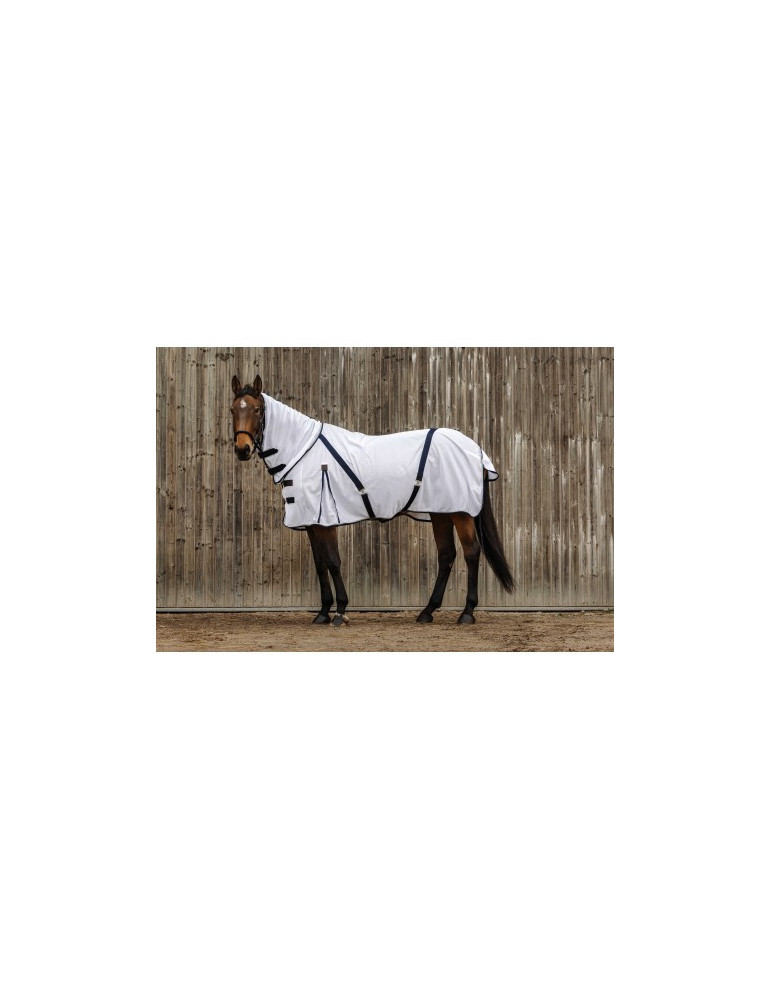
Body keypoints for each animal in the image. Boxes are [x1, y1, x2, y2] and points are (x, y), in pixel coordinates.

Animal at [230, 373, 514, 626]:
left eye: (257, 409)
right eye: (233, 410)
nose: (242, 449)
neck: (304, 452)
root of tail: (475, 449)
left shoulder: (326, 520)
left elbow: (333, 561)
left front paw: (340, 612)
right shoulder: (312, 522)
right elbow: (320, 564)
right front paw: (322, 613)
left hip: (461, 513)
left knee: (471, 552)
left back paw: (466, 613)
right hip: (440, 512)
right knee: (446, 555)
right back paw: (427, 612)